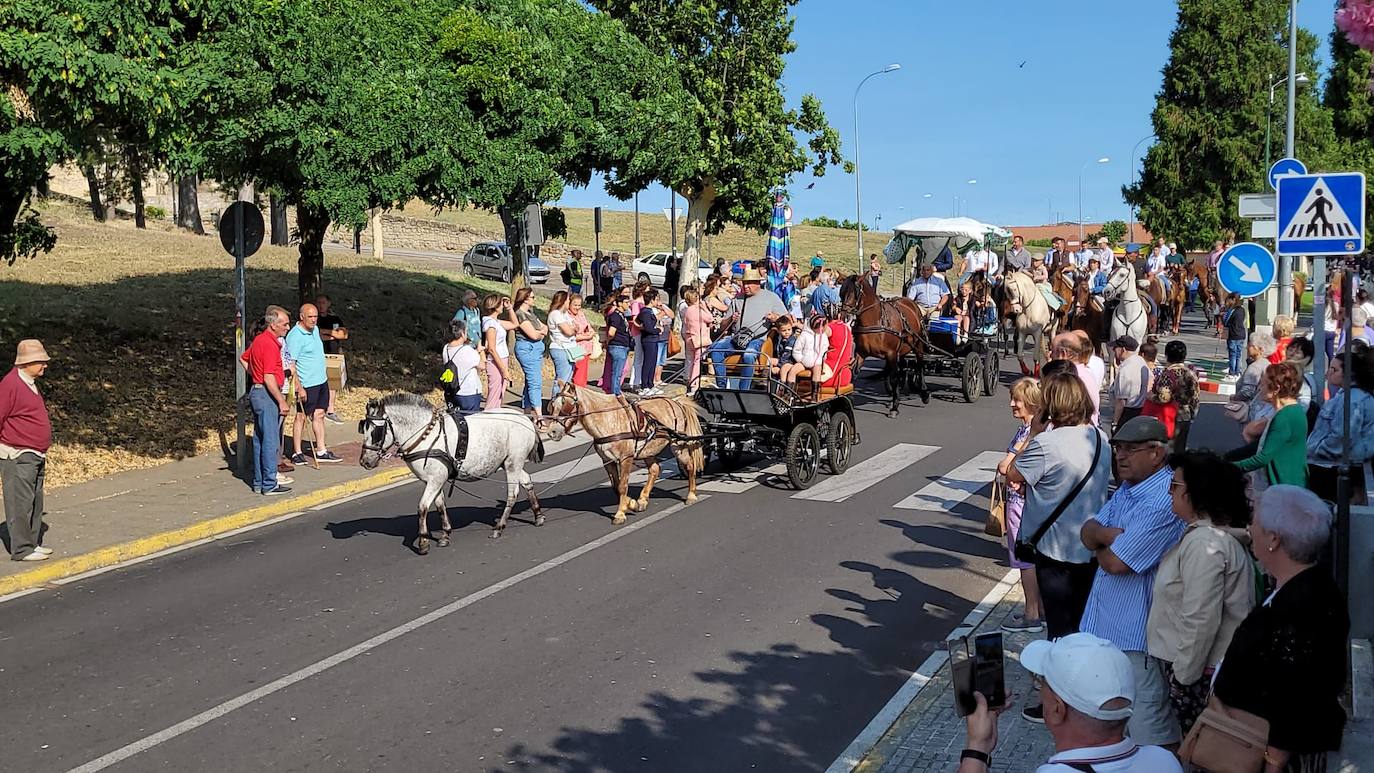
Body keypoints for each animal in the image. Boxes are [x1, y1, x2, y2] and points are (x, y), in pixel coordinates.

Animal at [359, 395, 546, 554]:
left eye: (375, 431)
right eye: (363, 428)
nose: (365, 461)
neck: (427, 436)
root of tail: (526, 419)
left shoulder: (435, 479)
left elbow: (422, 507)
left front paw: (423, 542)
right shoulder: (433, 480)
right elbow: (440, 505)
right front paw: (445, 534)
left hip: (512, 463)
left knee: (512, 494)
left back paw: (500, 526)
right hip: (510, 463)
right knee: (527, 482)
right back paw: (538, 515)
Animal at [544, 381, 703, 527]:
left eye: (565, 404)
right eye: (552, 406)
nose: (552, 432)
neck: (608, 419)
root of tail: (677, 403)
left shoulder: (625, 458)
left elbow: (622, 485)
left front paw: (620, 514)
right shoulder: (607, 461)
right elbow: (616, 486)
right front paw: (632, 503)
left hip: (678, 445)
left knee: (690, 465)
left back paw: (691, 495)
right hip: (648, 450)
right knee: (655, 469)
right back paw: (643, 499)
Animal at [829, 273, 928, 417]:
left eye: (854, 293)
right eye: (841, 293)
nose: (843, 316)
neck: (875, 321)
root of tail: (910, 302)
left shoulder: (891, 354)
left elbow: (894, 378)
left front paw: (895, 406)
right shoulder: (861, 353)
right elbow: (854, 373)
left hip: (918, 344)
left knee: (920, 365)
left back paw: (924, 392)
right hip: (903, 348)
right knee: (903, 366)